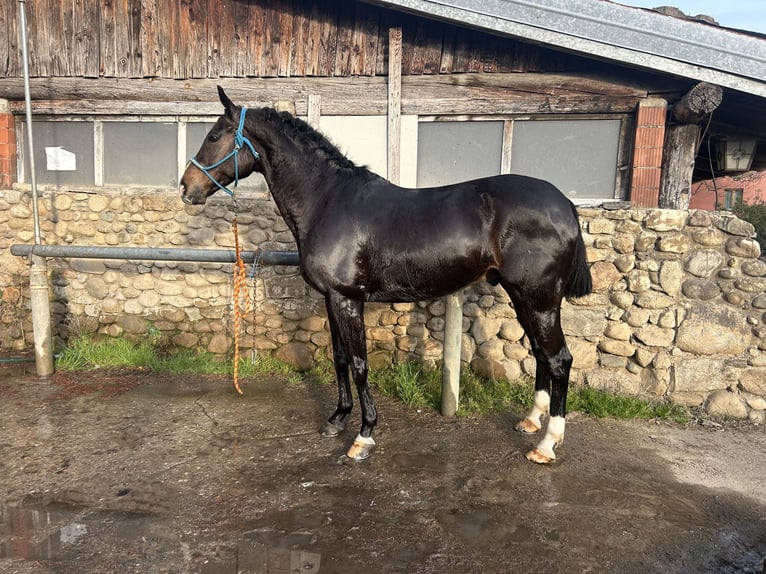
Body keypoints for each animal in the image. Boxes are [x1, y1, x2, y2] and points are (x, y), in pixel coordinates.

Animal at [180, 86, 592, 464]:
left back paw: (546, 444)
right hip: (524, 298)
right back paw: (531, 420)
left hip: (539, 300)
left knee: (559, 359)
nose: (187, 188)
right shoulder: (332, 298)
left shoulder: (348, 299)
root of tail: (565, 205)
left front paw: (364, 435)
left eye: (213, 136)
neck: (328, 200)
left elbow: (360, 365)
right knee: (541, 354)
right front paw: (337, 419)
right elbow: (340, 359)